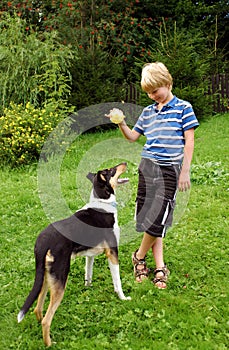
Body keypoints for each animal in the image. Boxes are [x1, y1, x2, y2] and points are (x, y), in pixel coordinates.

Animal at [17, 163, 131, 346]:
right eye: (112, 170)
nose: (124, 164)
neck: (102, 202)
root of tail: (42, 241)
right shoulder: (113, 252)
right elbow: (117, 282)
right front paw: (123, 298)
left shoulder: (90, 255)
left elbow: (88, 274)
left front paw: (88, 290)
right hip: (60, 277)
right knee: (47, 319)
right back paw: (50, 344)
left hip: (46, 277)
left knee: (37, 308)